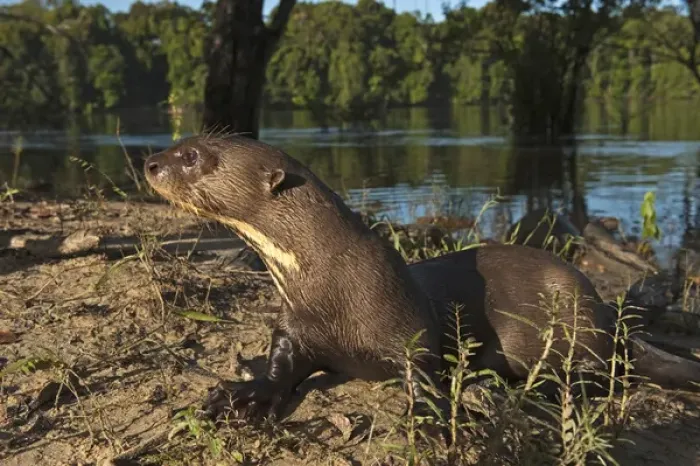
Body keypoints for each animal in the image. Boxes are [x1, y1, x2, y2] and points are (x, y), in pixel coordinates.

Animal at [143, 135, 700, 427]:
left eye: (193, 156)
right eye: (183, 143)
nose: (150, 161)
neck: (330, 288)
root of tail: (607, 314)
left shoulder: (407, 327)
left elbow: (424, 372)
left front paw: (436, 417)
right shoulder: (294, 329)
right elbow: (281, 368)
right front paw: (242, 395)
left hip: (575, 319)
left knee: (602, 375)